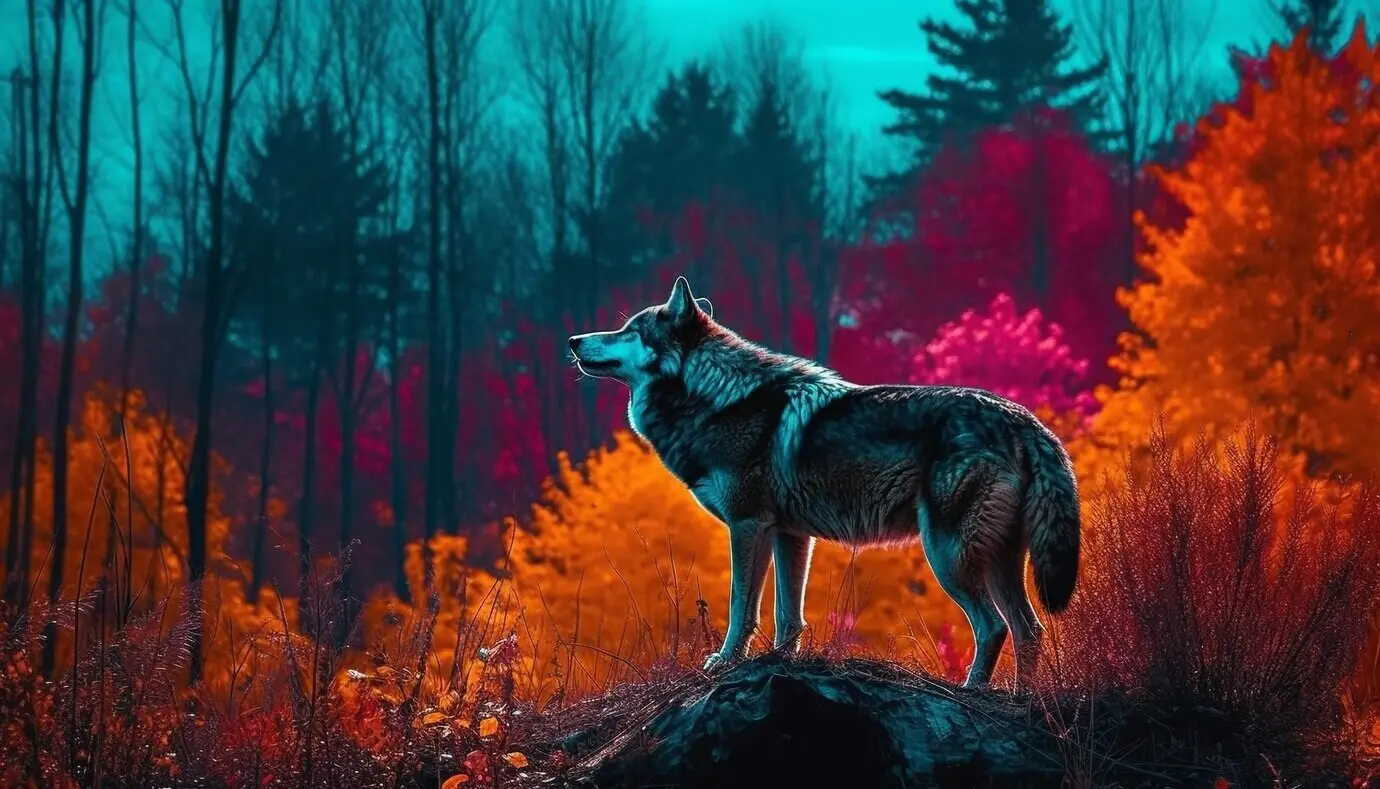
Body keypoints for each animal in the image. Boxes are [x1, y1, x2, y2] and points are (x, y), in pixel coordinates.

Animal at [567, 277, 1081, 689]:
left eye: (629, 331)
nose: (573, 339)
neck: (718, 399)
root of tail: (1026, 422)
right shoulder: (791, 535)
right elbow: (787, 615)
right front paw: (780, 662)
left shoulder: (748, 525)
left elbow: (741, 607)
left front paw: (725, 662)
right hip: (995, 561)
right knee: (1029, 628)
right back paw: (1021, 701)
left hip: (947, 555)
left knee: (993, 627)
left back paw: (973, 693)